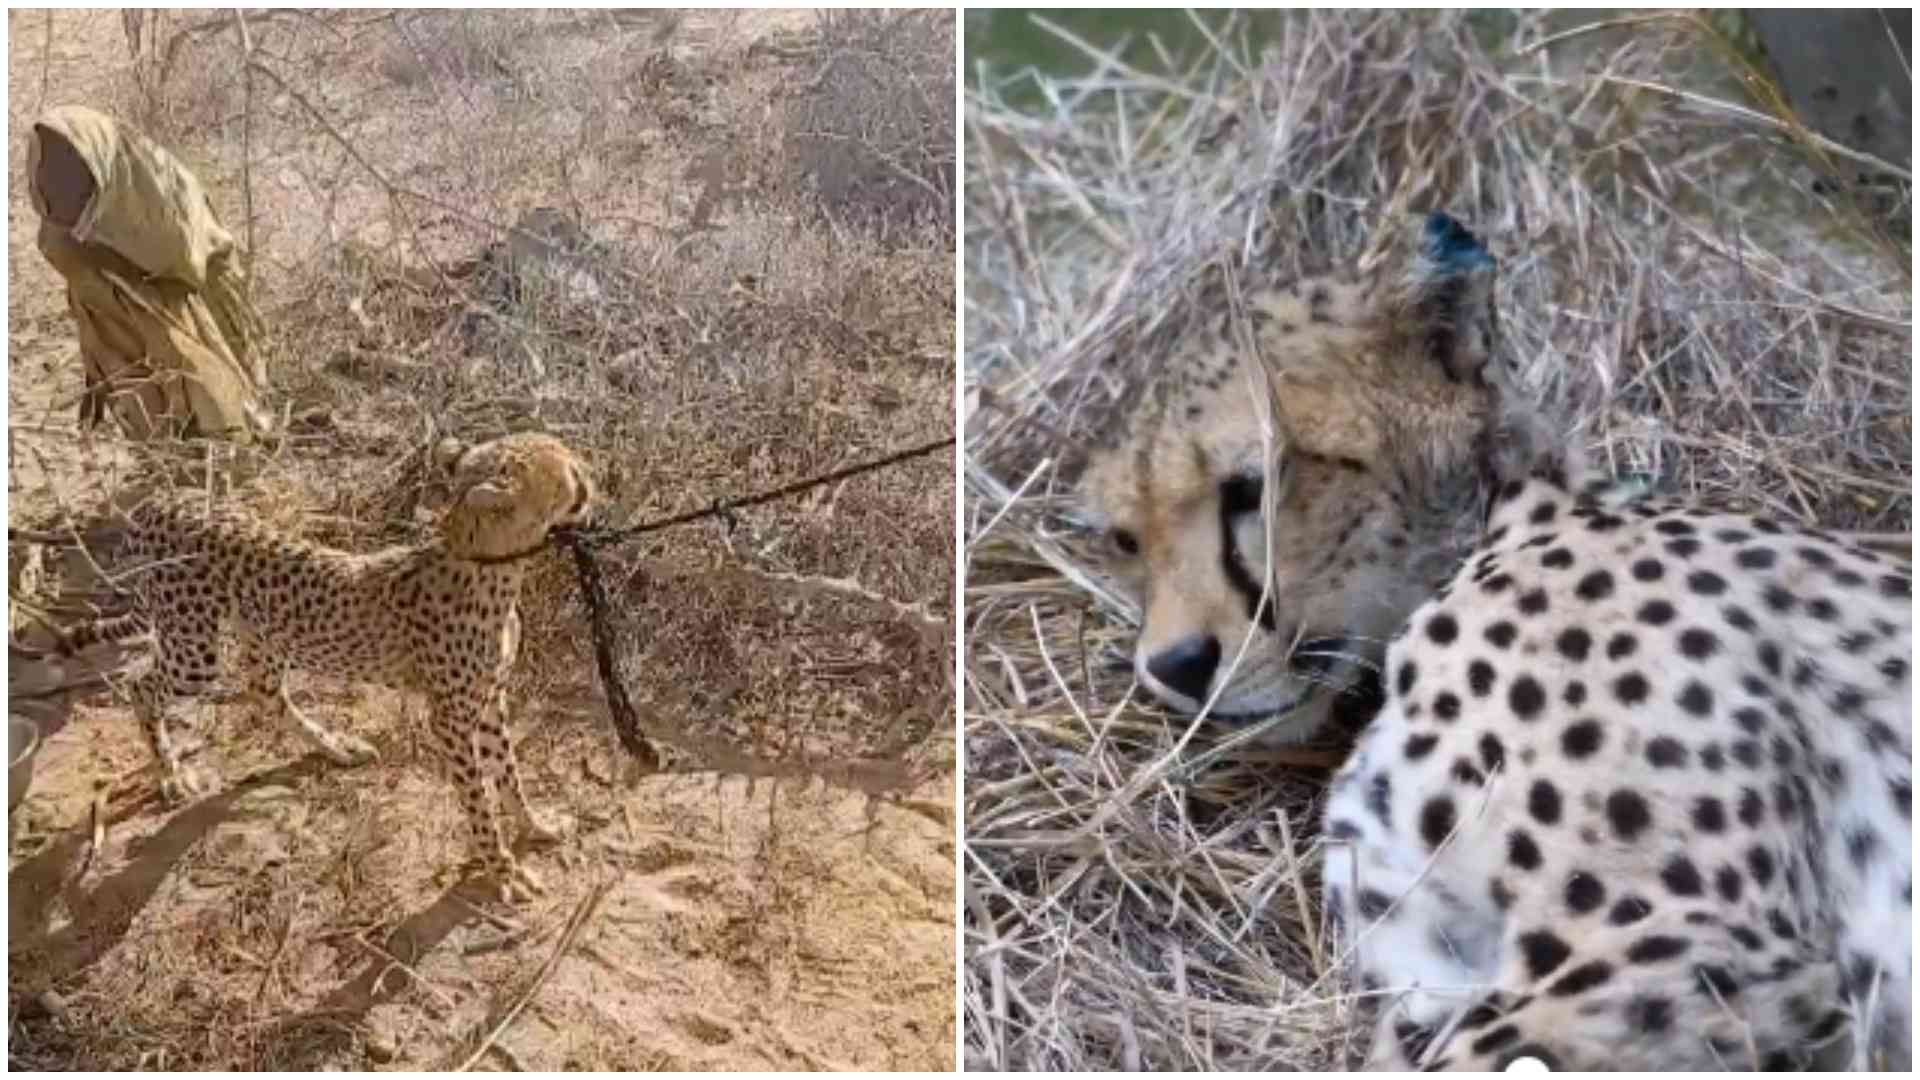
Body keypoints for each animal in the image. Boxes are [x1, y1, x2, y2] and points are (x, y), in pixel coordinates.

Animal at [44, 431, 597, 902]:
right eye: (566, 467)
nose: (591, 473)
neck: (492, 566)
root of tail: (160, 503)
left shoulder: (489, 699)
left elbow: (508, 774)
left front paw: (536, 825)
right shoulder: (450, 719)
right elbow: (481, 800)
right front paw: (502, 869)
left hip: (263, 634)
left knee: (264, 691)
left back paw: (336, 747)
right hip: (195, 648)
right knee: (141, 684)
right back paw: (172, 773)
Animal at [1083, 212, 1912, 1068]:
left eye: (1250, 486)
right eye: (1126, 540)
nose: (1174, 665)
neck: (1515, 517)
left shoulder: (1701, 940)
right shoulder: (1432, 976)